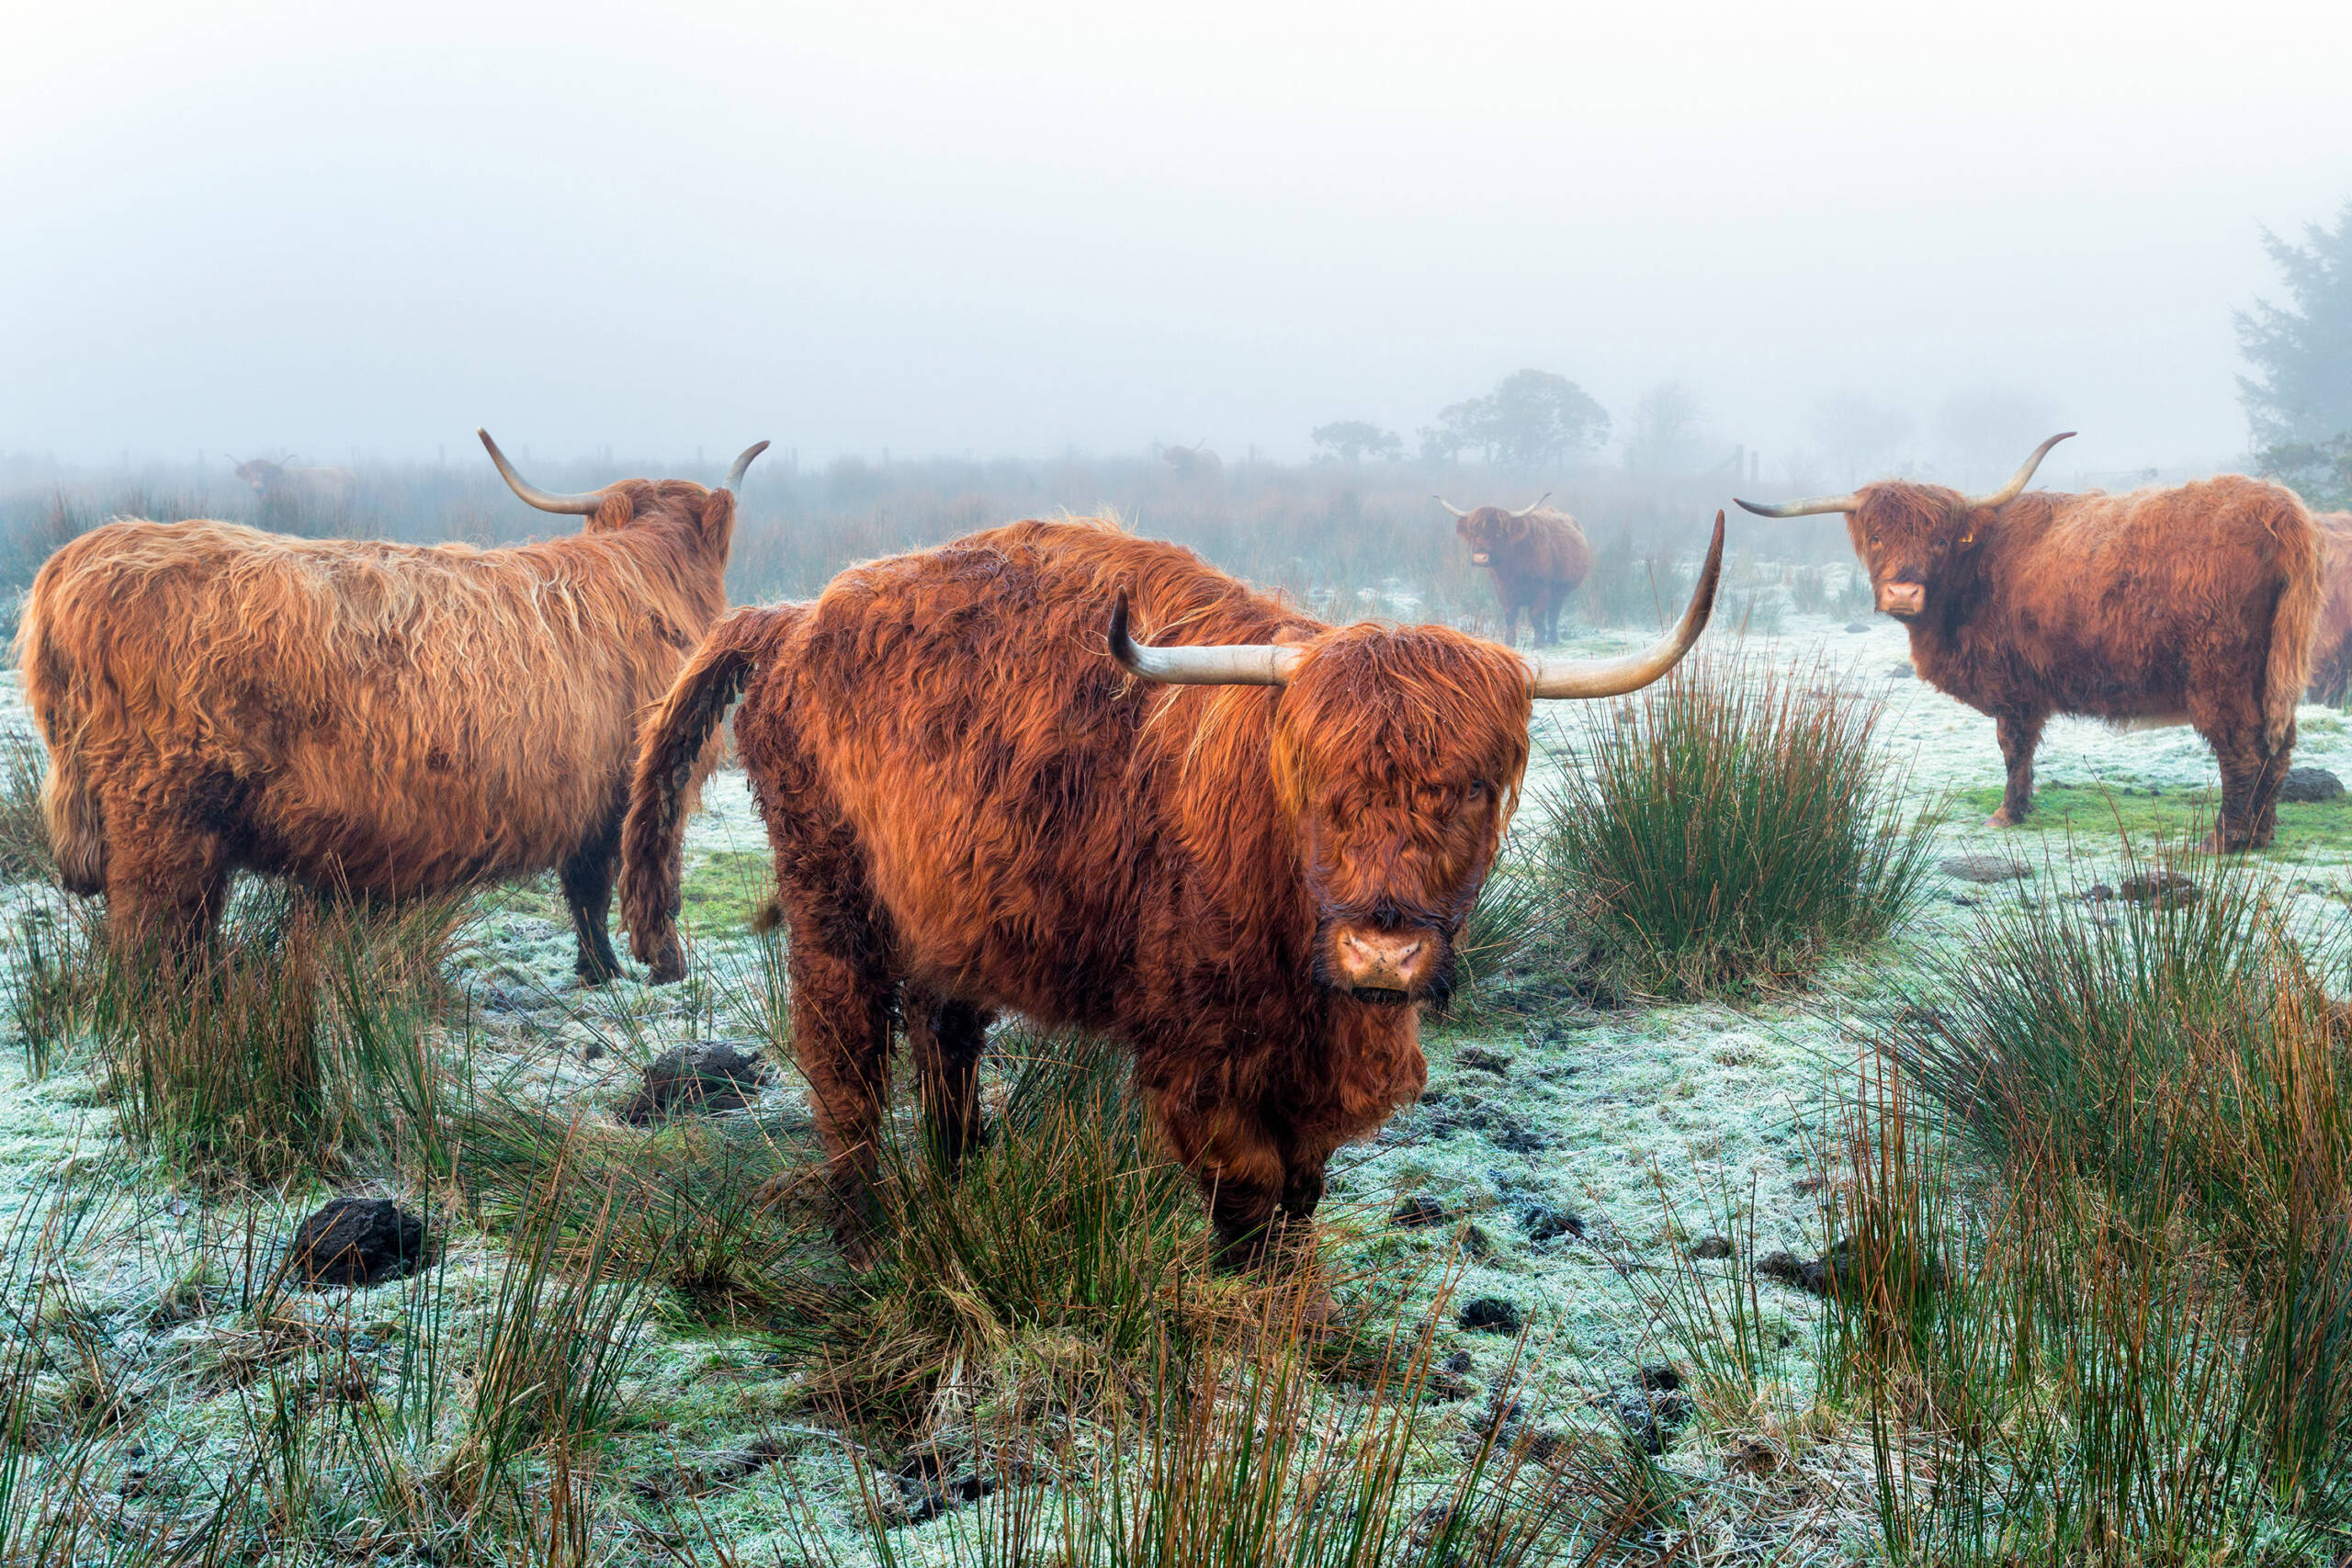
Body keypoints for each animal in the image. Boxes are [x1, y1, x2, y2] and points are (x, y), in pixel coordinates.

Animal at [20, 430, 771, 982]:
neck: (647, 574)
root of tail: (78, 559)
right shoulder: (638, 784)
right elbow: (625, 884)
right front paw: (644, 968)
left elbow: (585, 888)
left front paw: (598, 972)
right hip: (161, 814)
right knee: (152, 937)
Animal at [625, 517, 1731, 1279]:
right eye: (1318, 786)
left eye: (1466, 789)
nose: (1384, 954)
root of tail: (795, 619)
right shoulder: (1195, 1052)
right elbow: (1248, 1193)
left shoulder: (1308, 1071)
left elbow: (1301, 1188)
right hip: (830, 893)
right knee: (844, 1054)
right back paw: (868, 1233)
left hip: (948, 911)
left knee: (945, 1042)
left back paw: (957, 1179)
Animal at [1430, 493, 1599, 649]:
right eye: (1473, 532)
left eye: (1498, 534)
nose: (1480, 558)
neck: (1515, 567)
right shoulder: (1503, 587)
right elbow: (1510, 614)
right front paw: (1509, 642)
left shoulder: (1542, 587)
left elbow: (1537, 615)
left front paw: (1539, 643)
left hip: (1560, 591)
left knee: (1553, 614)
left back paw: (1552, 640)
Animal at [1740, 434, 2324, 851]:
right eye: (1877, 536)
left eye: (1939, 539)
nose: (1903, 592)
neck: (1973, 572)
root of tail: (2279, 507)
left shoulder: (2013, 688)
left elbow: (2013, 748)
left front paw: (2007, 813)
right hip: (2273, 674)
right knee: (2278, 751)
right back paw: (2262, 836)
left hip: (2220, 675)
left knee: (2242, 750)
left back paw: (2224, 841)